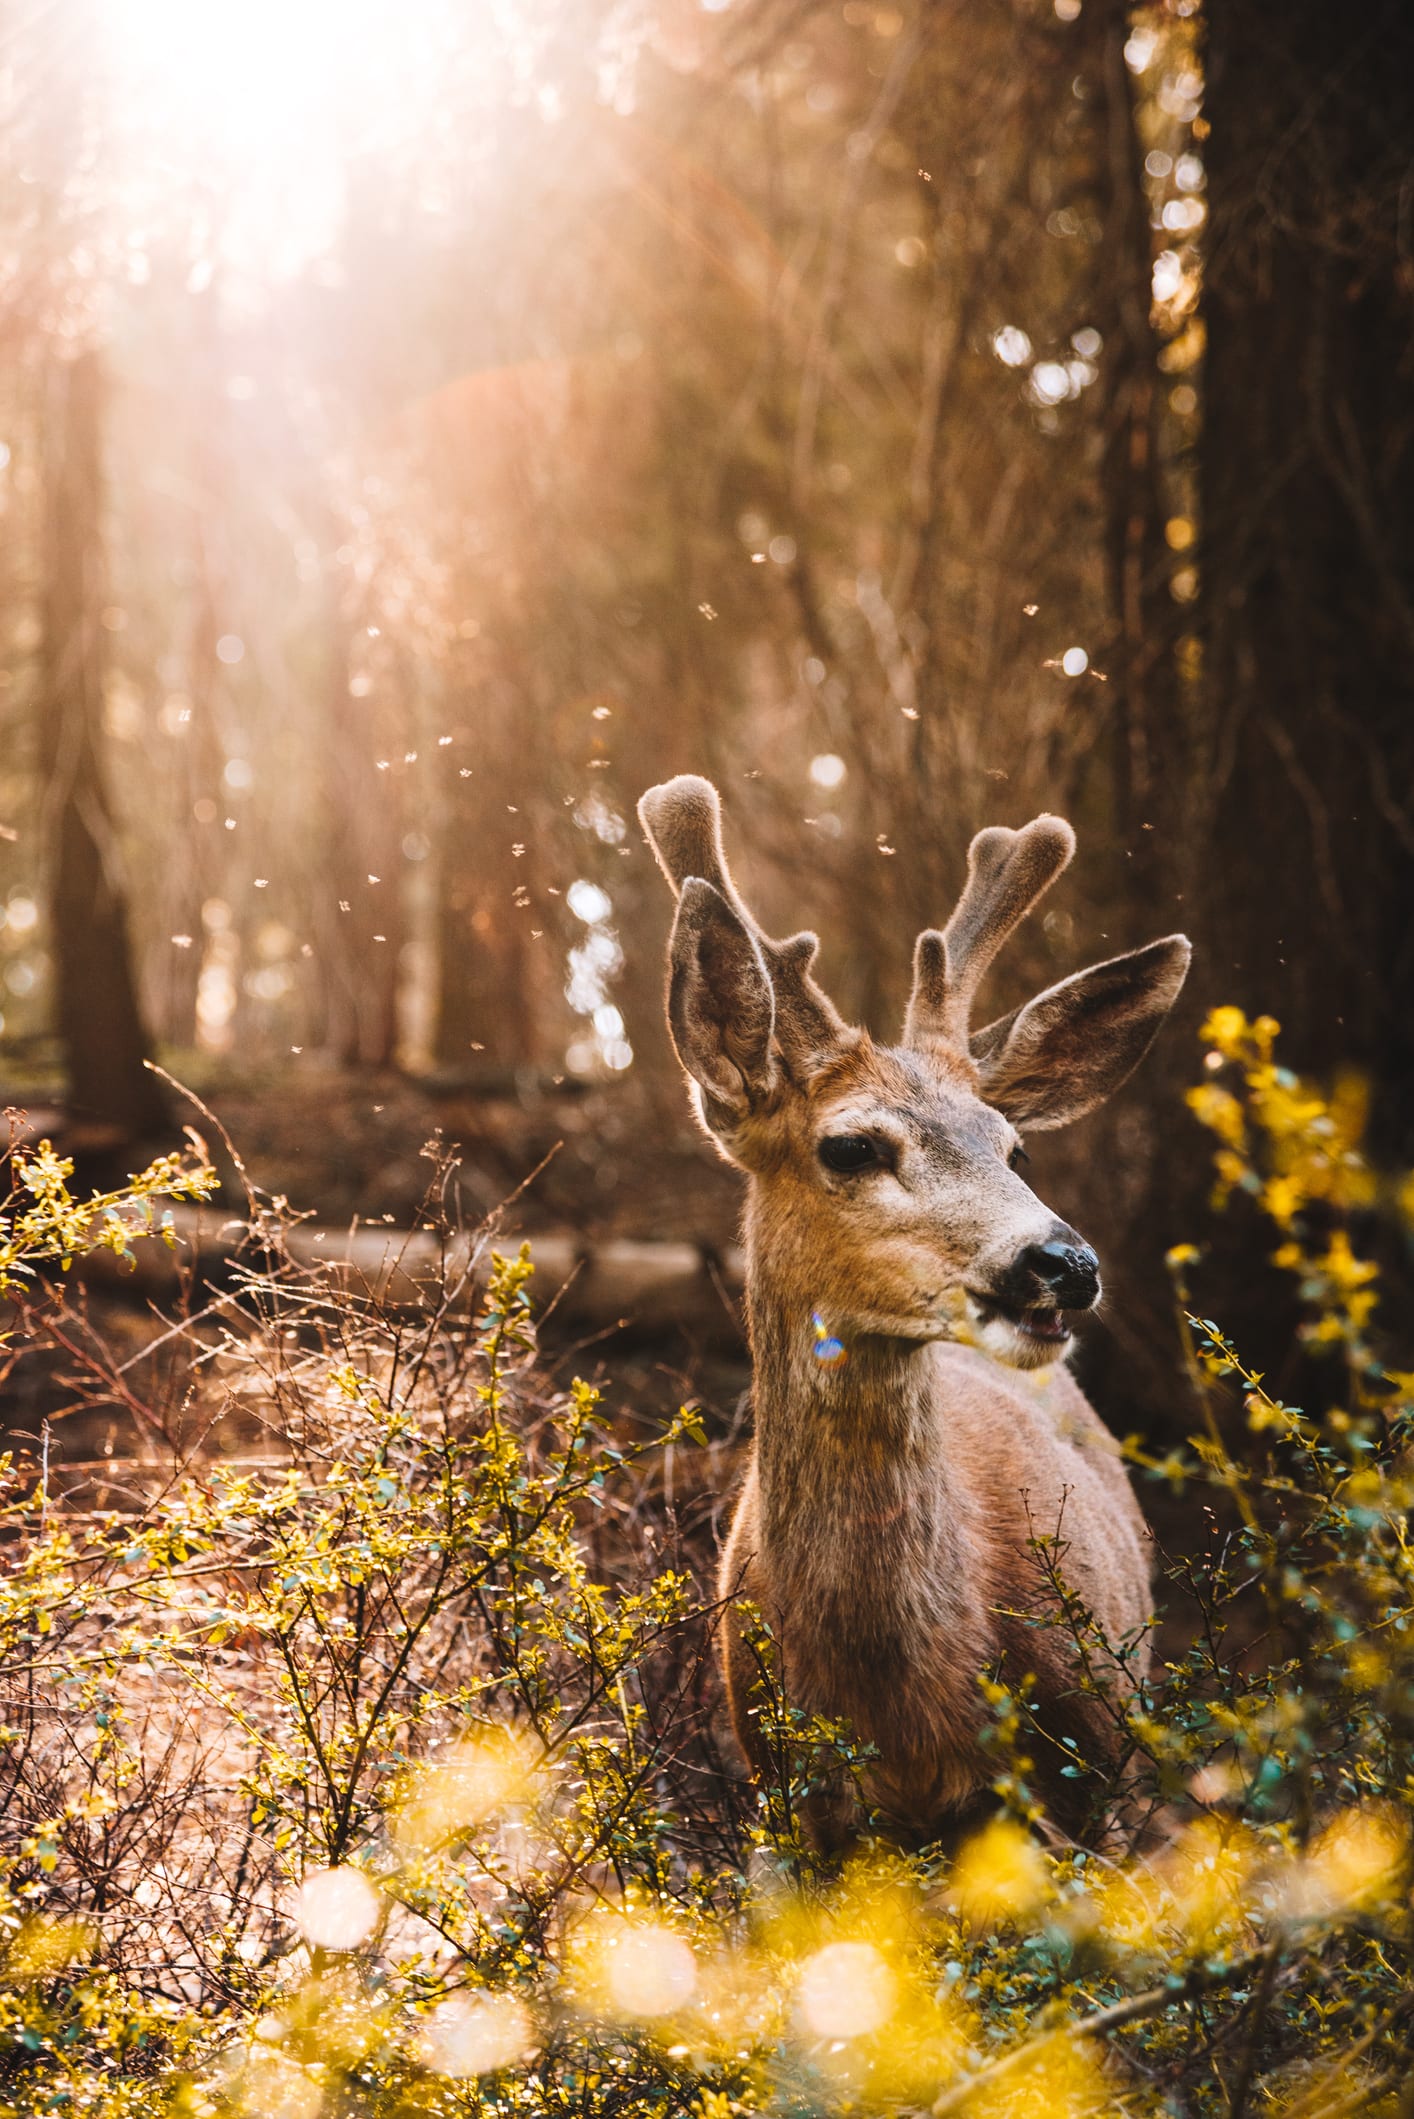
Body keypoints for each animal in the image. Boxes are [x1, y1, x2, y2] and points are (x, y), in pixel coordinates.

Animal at [640, 771, 1195, 1847]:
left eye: (1013, 1146)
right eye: (851, 1145)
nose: (1064, 1262)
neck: (901, 1710)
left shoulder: (1094, 1766)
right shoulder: (790, 1803)